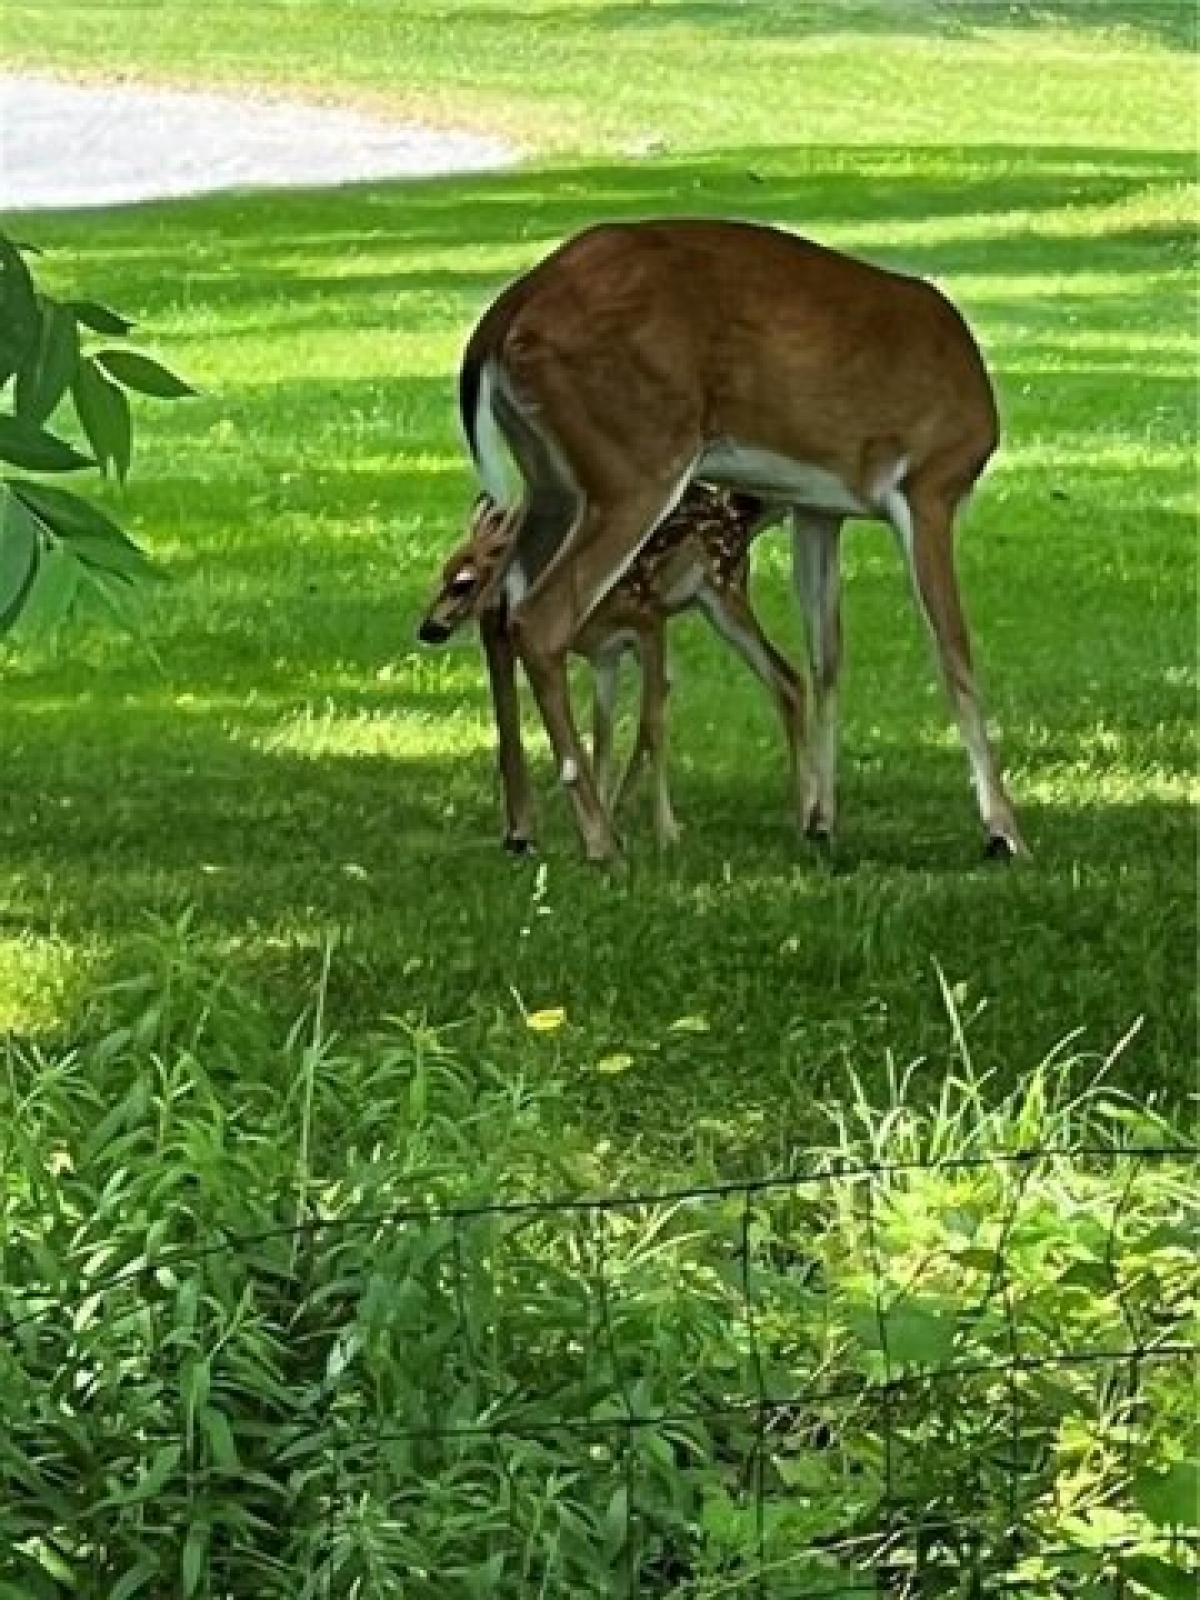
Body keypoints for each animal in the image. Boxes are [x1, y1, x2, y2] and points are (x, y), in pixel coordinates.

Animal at [419, 483, 803, 851]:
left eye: (463, 582)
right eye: (443, 573)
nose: (426, 629)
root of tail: (738, 512)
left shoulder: (649, 621)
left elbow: (649, 726)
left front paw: (665, 832)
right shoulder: (604, 655)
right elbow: (602, 734)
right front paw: (603, 821)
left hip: (722, 593)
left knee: (785, 678)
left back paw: (800, 812)